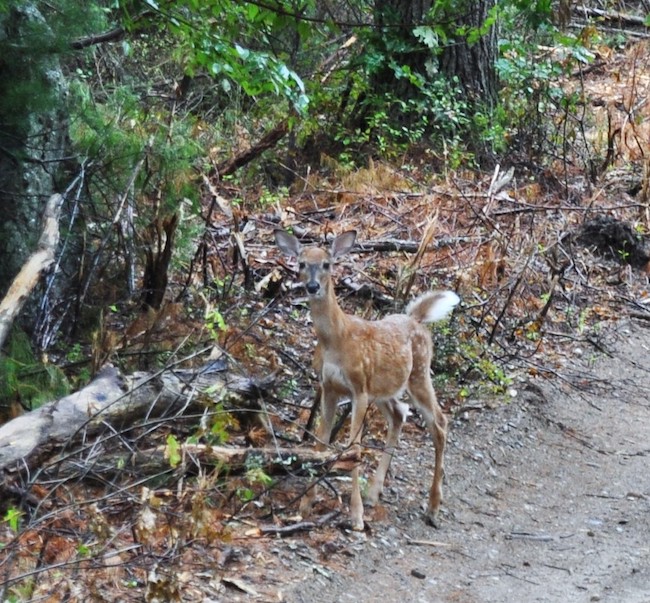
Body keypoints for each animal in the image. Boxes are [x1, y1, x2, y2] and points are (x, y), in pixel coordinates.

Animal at [274, 229, 460, 530]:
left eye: (327, 264)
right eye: (301, 263)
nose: (312, 286)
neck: (336, 340)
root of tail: (417, 319)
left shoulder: (358, 388)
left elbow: (354, 449)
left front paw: (356, 517)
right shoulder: (328, 387)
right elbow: (321, 443)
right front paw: (305, 505)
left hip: (418, 374)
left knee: (440, 423)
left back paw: (432, 508)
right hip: (384, 389)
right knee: (399, 415)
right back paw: (375, 492)